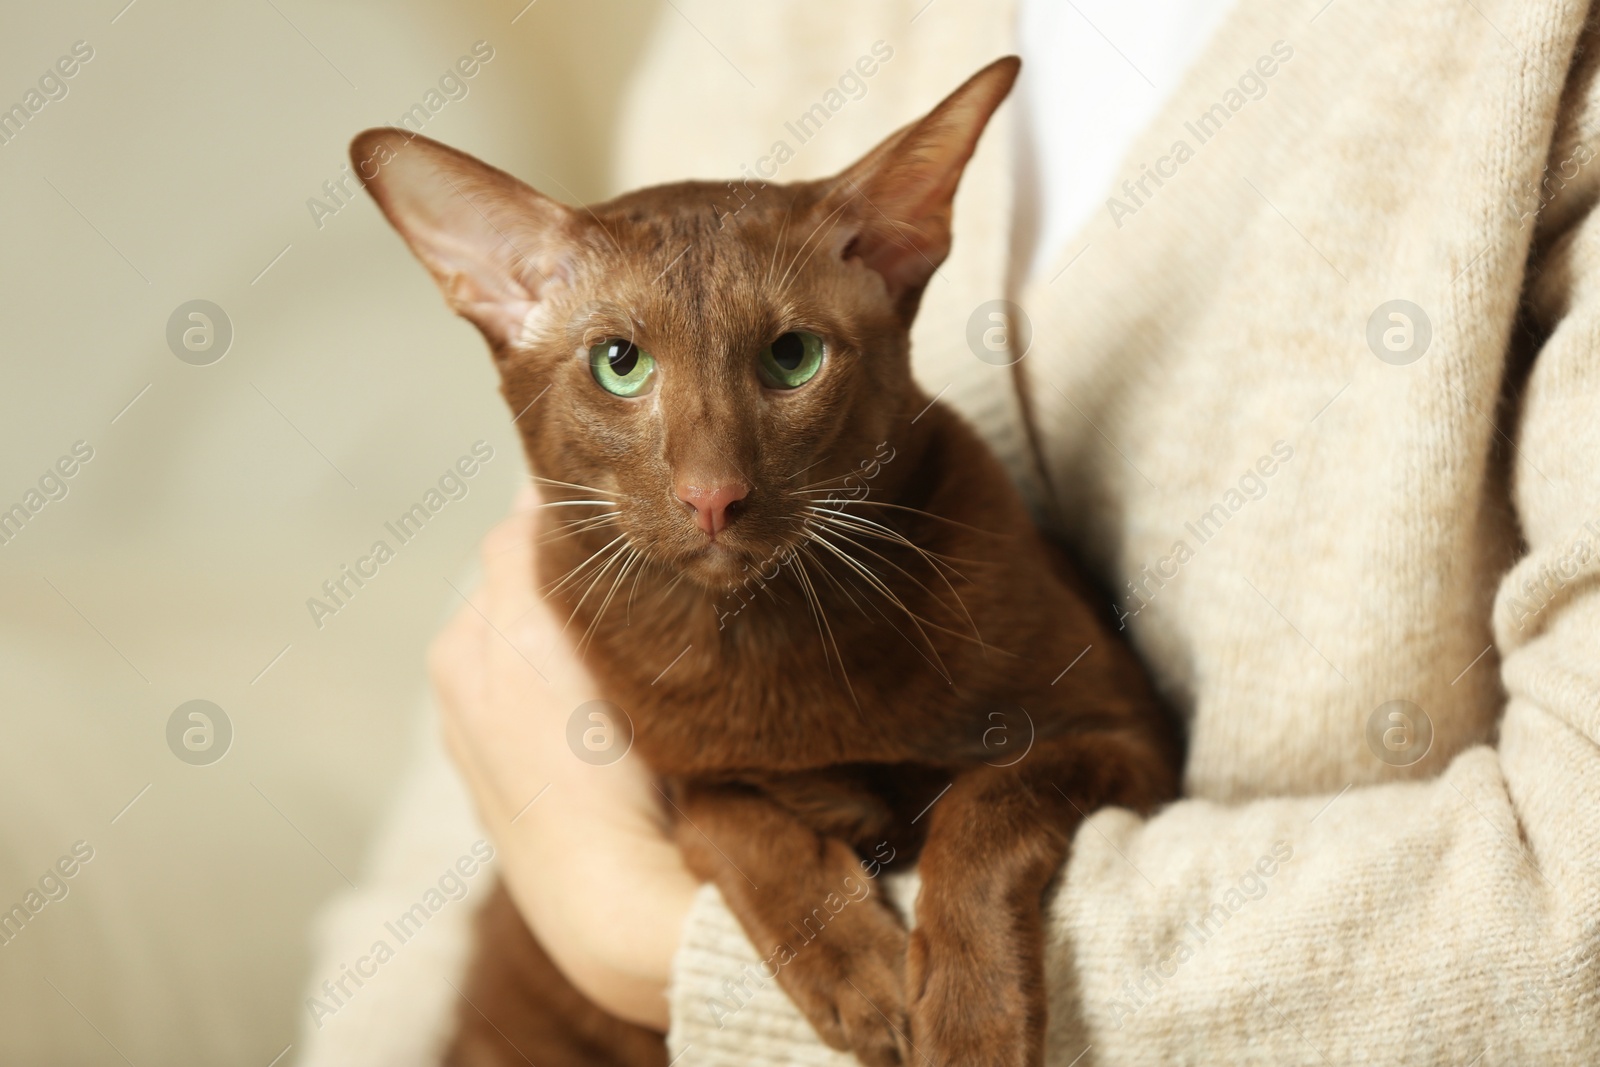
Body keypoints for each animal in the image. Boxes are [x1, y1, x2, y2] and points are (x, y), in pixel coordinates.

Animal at [356, 58, 1184, 1067]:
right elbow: (738, 819)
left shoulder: (1123, 732)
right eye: (620, 364)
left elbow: (986, 804)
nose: (713, 494)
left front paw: (970, 1016)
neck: (766, 635)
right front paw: (862, 975)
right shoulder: (682, 775)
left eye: (793, 357)